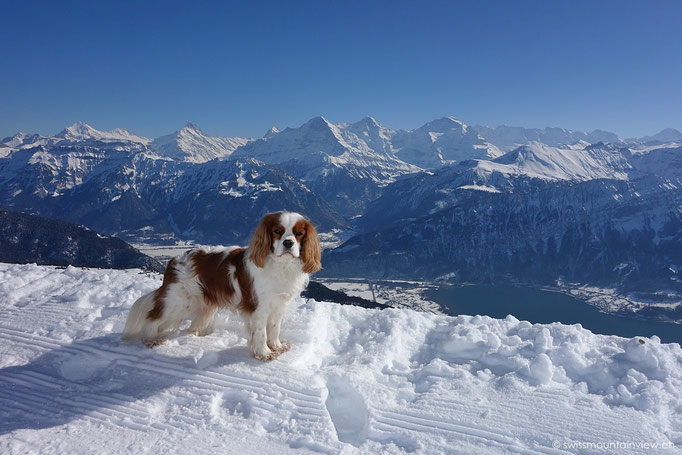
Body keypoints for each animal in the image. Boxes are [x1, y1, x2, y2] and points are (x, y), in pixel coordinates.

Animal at [122, 212, 322, 362]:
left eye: (299, 234)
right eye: (277, 231)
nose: (288, 243)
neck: (281, 265)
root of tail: (174, 259)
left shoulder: (277, 306)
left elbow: (274, 329)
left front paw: (277, 347)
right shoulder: (259, 308)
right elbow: (261, 333)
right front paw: (264, 353)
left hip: (203, 303)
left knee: (192, 324)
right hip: (179, 302)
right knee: (153, 316)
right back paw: (151, 340)